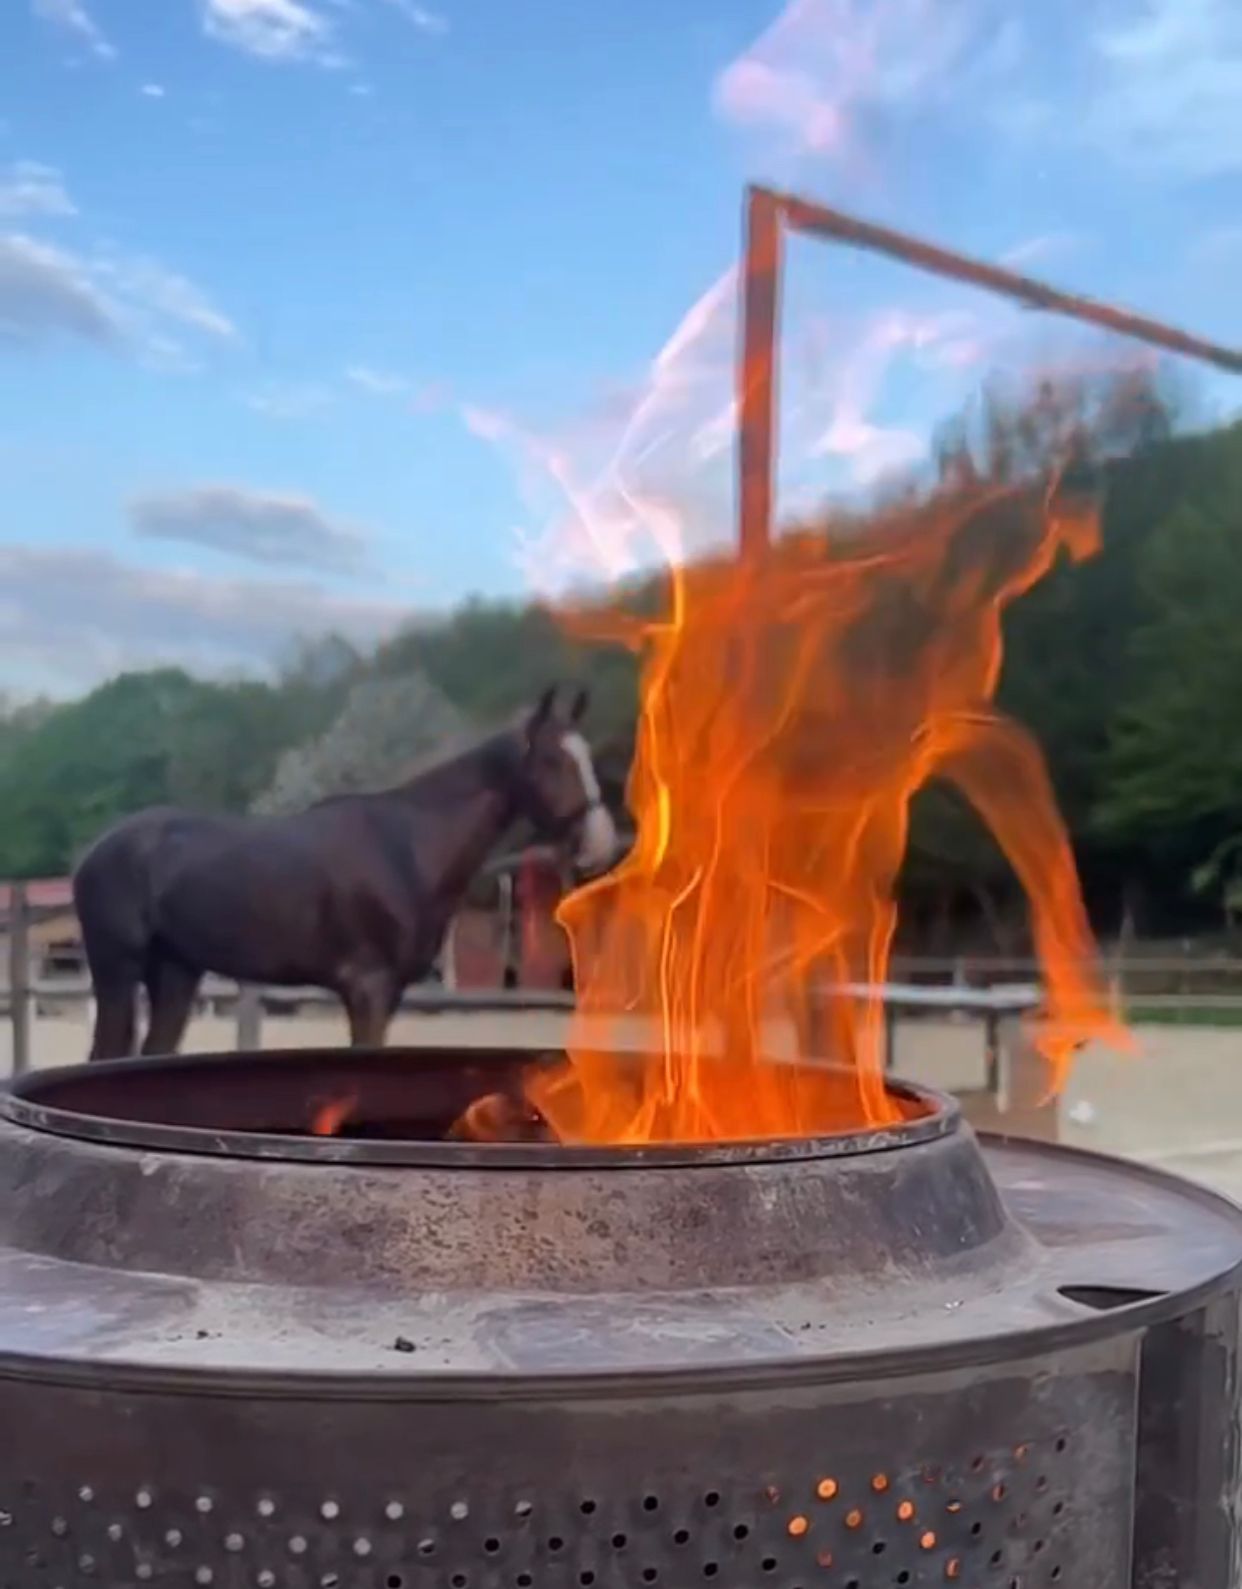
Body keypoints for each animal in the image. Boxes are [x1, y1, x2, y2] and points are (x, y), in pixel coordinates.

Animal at [73, 689, 616, 1061]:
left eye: (587, 758)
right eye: (551, 760)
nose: (601, 843)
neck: (406, 847)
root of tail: (97, 850)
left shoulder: (387, 994)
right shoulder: (367, 989)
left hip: (175, 973)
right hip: (117, 971)